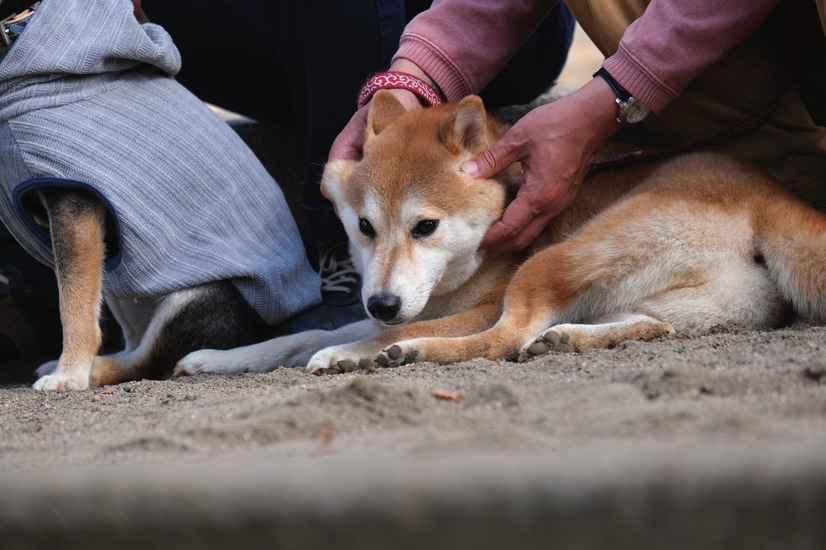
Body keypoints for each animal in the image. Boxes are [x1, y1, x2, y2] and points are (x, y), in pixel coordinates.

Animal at [175, 91, 824, 380]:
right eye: (364, 226)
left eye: (425, 226)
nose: (380, 301)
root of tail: (768, 193)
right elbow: (298, 336)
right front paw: (218, 358)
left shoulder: (475, 305)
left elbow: (373, 334)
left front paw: (348, 352)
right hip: (677, 300)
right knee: (650, 327)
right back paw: (568, 340)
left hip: (560, 257)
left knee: (504, 339)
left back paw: (417, 352)